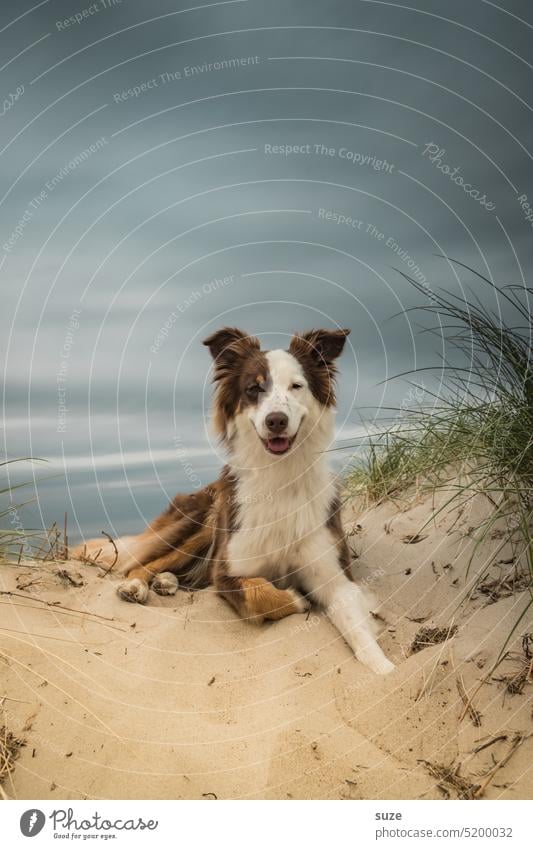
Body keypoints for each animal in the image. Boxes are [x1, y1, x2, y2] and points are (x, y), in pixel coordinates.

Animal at [76, 326, 394, 676]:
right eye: (254, 389)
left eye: (296, 386)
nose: (276, 420)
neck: (279, 477)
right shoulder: (227, 571)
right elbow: (262, 592)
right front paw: (297, 598)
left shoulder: (335, 577)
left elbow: (357, 625)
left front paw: (385, 669)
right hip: (202, 524)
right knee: (141, 564)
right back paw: (138, 586)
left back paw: (166, 583)